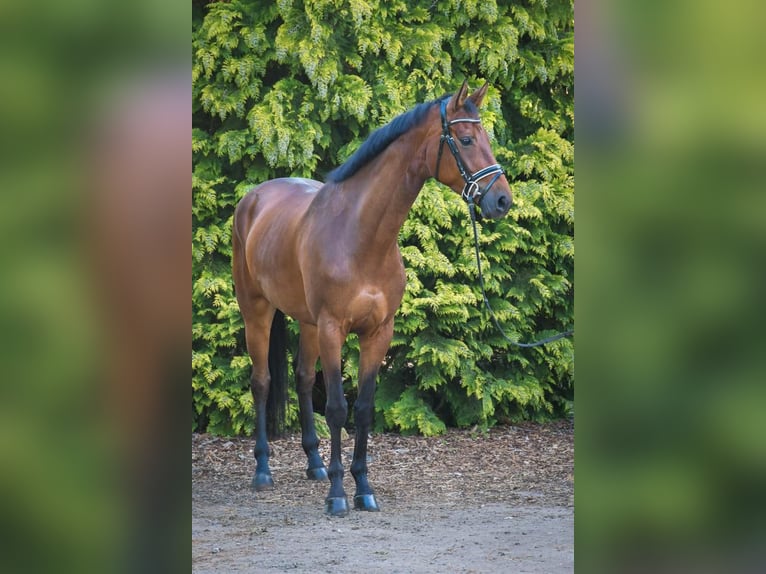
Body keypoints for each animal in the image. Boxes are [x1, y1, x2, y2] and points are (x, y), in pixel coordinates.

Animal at [232, 81, 512, 516]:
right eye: (466, 140)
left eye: (487, 138)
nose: (502, 200)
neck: (360, 235)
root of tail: (253, 199)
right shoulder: (333, 329)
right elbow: (336, 408)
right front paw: (337, 495)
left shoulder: (378, 332)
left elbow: (363, 409)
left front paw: (363, 487)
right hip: (257, 311)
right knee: (261, 382)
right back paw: (263, 471)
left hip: (307, 323)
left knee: (302, 378)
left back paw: (314, 464)